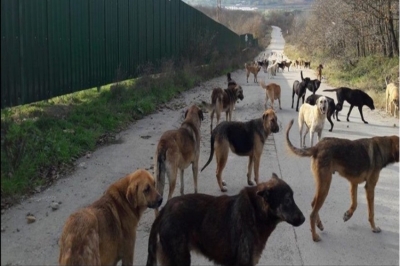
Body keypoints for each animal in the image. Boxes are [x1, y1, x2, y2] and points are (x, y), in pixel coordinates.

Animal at [145, 172, 304, 266]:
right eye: (287, 200)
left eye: (293, 198)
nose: (303, 219)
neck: (256, 211)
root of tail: (165, 209)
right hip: (180, 259)